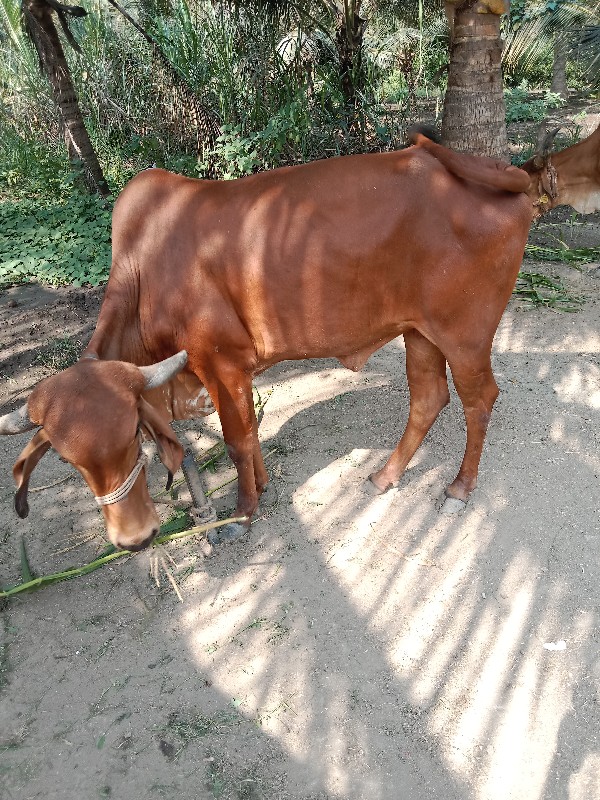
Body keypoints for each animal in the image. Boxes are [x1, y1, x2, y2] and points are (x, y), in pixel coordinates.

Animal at [1, 126, 600, 552]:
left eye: (129, 437)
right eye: (69, 462)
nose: (134, 539)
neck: (145, 269)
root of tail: (512, 175)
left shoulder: (221, 363)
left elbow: (238, 441)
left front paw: (243, 512)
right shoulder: (225, 374)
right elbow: (249, 438)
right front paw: (261, 488)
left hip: (466, 335)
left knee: (480, 400)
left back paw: (459, 487)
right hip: (419, 332)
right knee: (429, 399)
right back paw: (385, 476)